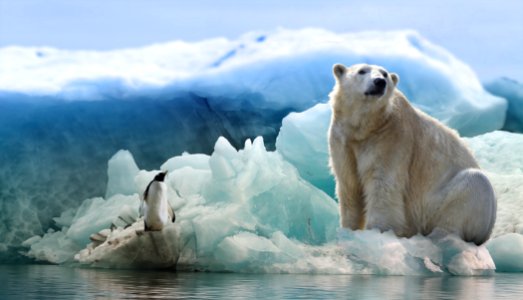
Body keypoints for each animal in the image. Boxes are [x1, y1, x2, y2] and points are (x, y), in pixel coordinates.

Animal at [330, 63, 498, 244]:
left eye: (385, 74)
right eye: (362, 71)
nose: (379, 82)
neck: (366, 127)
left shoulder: (391, 139)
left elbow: (382, 184)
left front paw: (376, 232)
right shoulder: (343, 140)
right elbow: (349, 185)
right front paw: (348, 230)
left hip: (440, 204)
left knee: (473, 185)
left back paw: (439, 236)